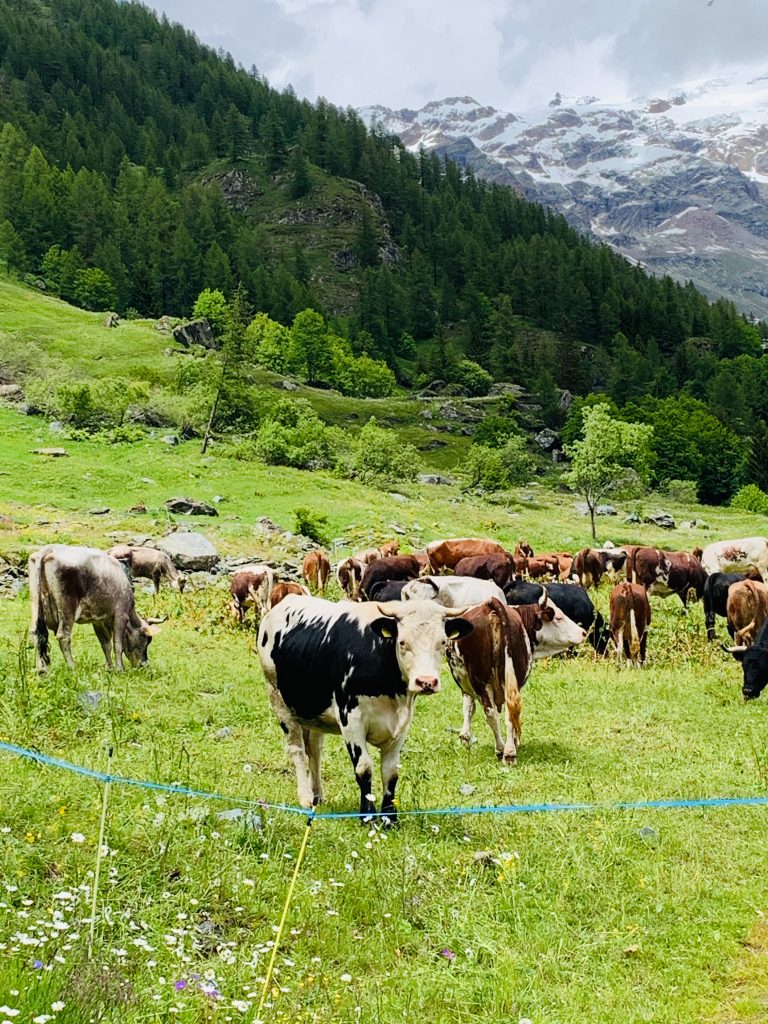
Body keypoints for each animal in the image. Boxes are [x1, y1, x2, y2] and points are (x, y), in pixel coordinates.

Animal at [28, 544, 159, 672]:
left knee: (36, 634)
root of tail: (49, 549)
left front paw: (110, 668)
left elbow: (105, 645)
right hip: (67, 608)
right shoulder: (121, 615)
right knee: (63, 636)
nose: (144, 664)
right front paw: (120, 669)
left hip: (36, 603)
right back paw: (72, 667)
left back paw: (41, 669)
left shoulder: (98, 621)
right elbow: (117, 644)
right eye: (146, 639)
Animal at [257, 595, 473, 818]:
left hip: (314, 713)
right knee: (297, 750)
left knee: (315, 750)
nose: (426, 682)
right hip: (279, 702)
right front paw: (367, 815)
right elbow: (364, 768)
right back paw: (305, 797)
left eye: (442, 642)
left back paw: (317, 794)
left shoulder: (402, 725)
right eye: (402, 642)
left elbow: (391, 772)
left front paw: (389, 817)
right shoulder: (351, 720)